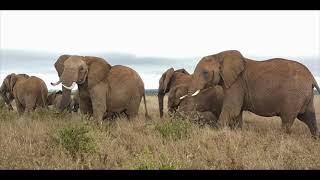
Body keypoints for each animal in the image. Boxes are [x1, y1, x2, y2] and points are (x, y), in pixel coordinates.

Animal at [188, 50, 320, 137]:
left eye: (205, 73)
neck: (218, 55)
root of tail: (311, 77)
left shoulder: (237, 82)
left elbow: (232, 109)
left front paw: (215, 133)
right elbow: (236, 113)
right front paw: (238, 134)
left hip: (294, 96)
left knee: (288, 119)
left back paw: (280, 139)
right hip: (305, 95)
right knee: (308, 117)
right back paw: (315, 139)